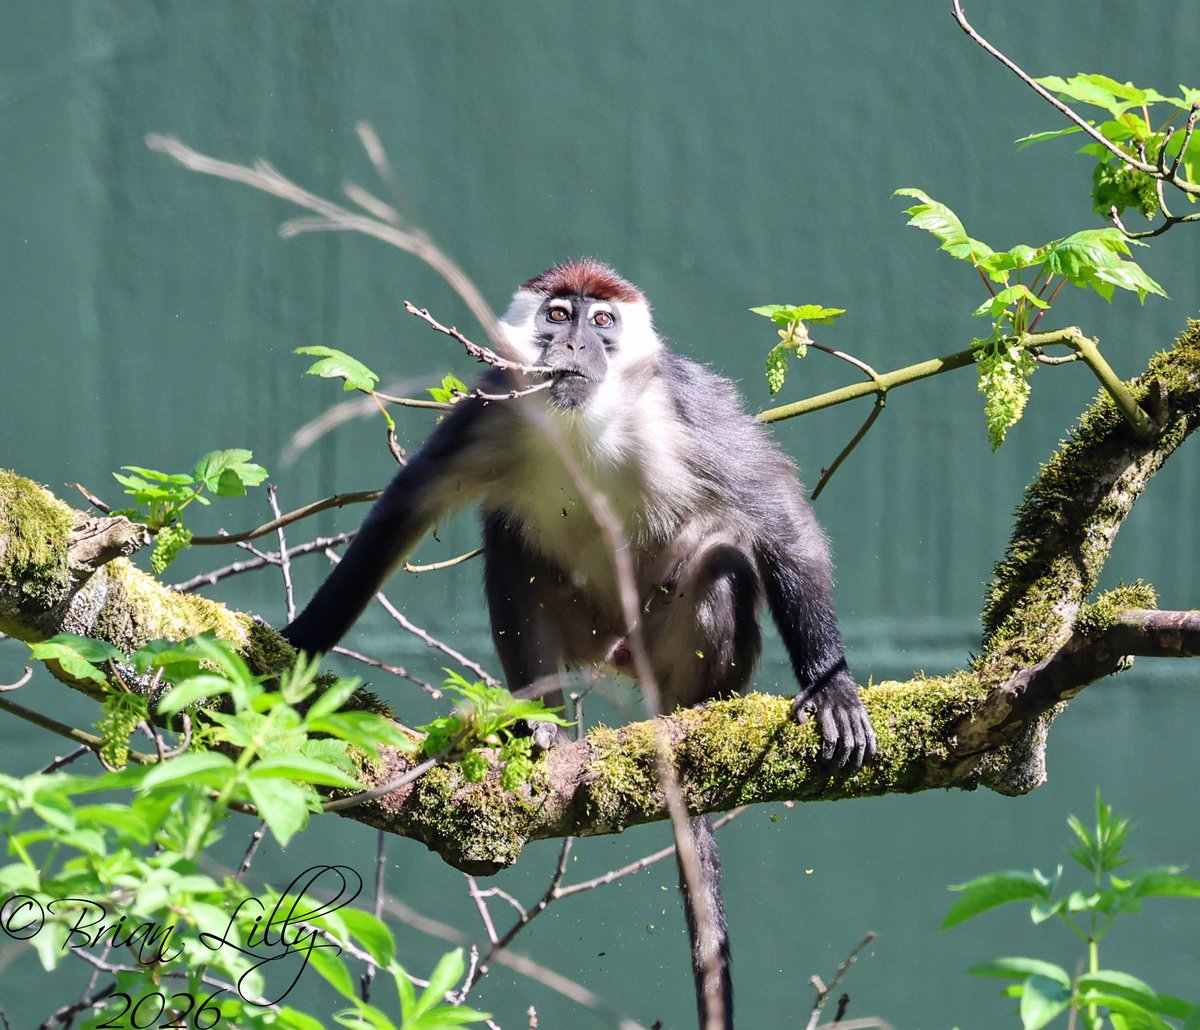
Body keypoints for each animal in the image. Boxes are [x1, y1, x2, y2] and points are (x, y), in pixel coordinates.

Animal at [281, 259, 877, 1029]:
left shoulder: (687, 408)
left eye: (602, 322)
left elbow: (777, 513)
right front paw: (295, 648)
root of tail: (619, 657)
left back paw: (695, 716)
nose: (574, 346)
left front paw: (831, 686)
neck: (585, 420)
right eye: (558, 316)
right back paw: (538, 721)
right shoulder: (492, 406)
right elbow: (407, 506)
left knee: (725, 557)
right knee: (508, 538)